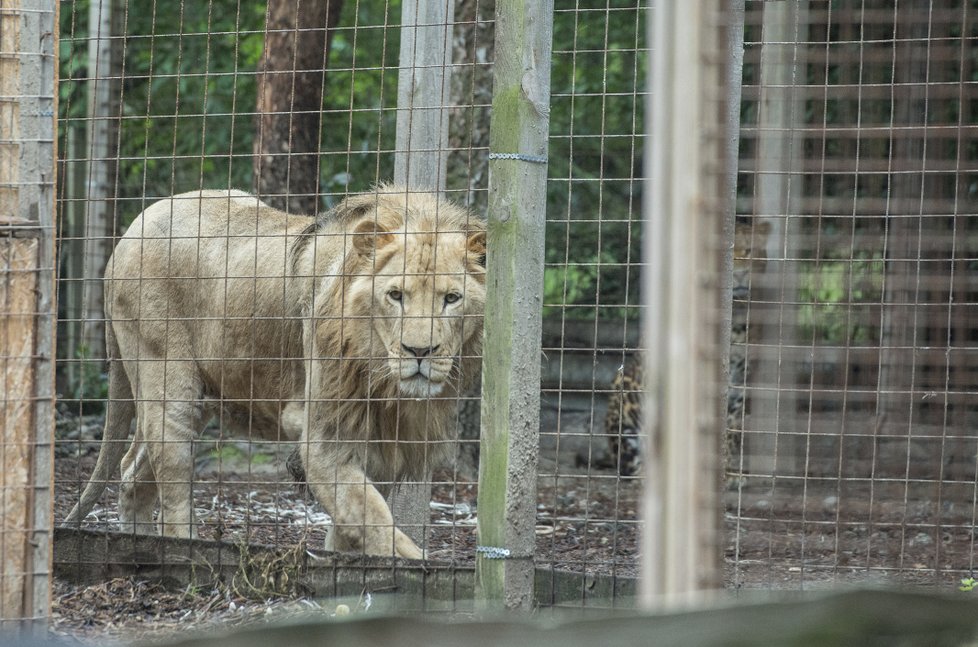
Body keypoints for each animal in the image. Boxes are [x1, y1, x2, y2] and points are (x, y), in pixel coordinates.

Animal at [63, 185, 484, 560]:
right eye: (395, 295)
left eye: (451, 299)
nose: (420, 352)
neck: (385, 382)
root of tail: (129, 233)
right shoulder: (321, 436)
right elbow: (375, 520)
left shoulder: (379, 440)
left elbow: (353, 522)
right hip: (169, 383)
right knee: (172, 483)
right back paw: (181, 550)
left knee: (132, 472)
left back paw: (137, 544)